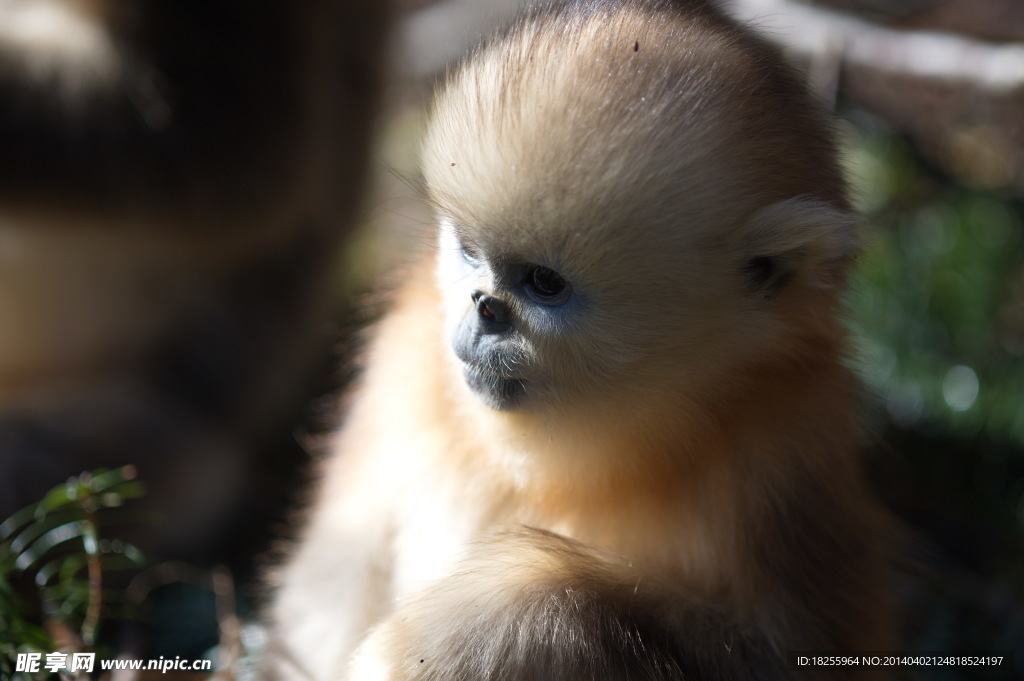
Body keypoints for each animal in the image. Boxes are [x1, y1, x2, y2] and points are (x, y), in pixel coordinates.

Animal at [266, 2, 897, 675]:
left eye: (544, 283)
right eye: (469, 252)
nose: (484, 310)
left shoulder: (785, 451)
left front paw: (489, 624)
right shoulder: (406, 355)